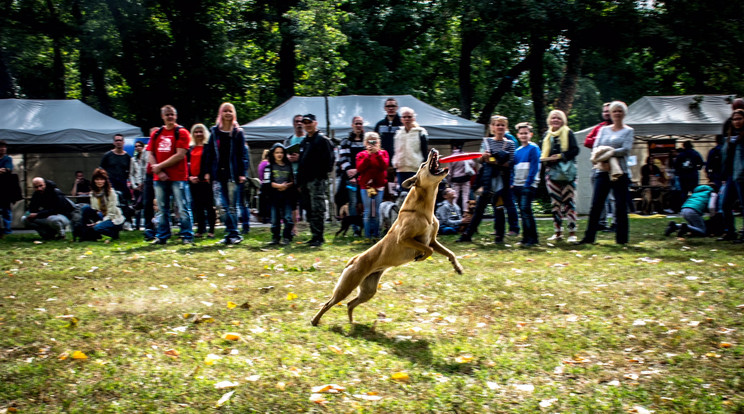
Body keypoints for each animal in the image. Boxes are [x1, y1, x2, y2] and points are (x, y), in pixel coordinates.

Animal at [310, 149, 462, 326]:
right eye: (423, 164)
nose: (432, 150)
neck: (422, 211)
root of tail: (354, 260)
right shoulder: (404, 239)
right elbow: (428, 250)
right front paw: (421, 256)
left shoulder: (433, 240)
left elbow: (449, 253)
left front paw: (457, 268)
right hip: (346, 286)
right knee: (328, 303)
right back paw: (314, 321)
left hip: (368, 290)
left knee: (350, 304)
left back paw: (353, 323)